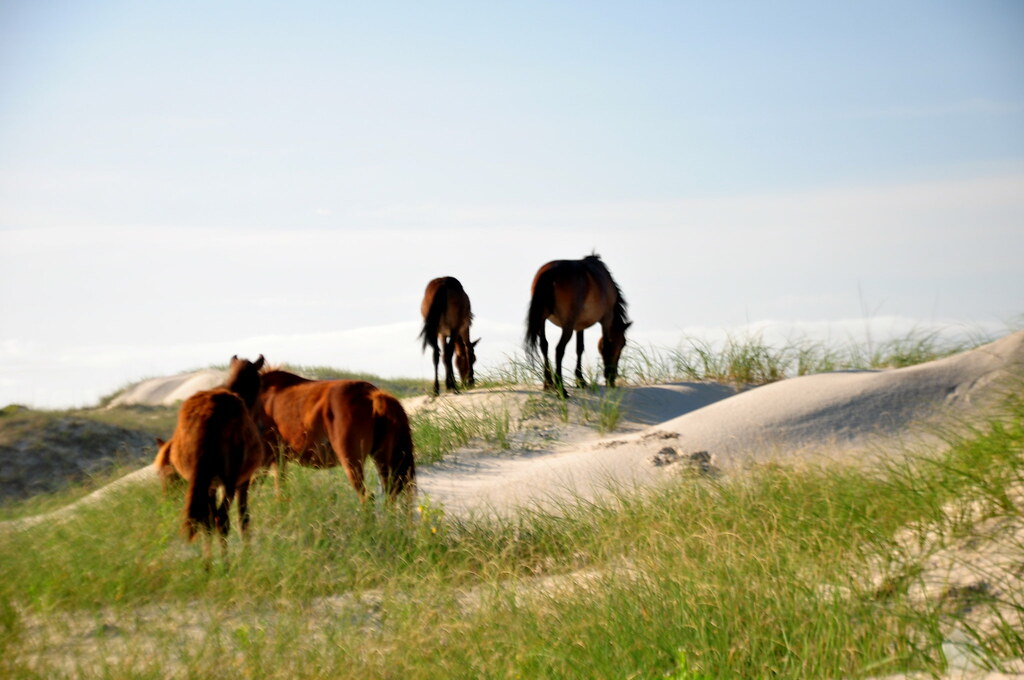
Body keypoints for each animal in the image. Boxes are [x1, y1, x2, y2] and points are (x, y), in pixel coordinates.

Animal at [152, 352, 266, 561]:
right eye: (260, 383)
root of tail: (208, 417)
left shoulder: (211, 485)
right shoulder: (242, 482)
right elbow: (244, 518)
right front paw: (247, 555)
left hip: (201, 479)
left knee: (207, 521)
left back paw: (209, 564)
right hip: (229, 480)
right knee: (222, 519)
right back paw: (225, 563)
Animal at [256, 368, 415, 501]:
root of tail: (372, 395)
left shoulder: (265, 458)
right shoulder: (278, 459)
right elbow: (281, 492)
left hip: (351, 462)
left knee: (367, 497)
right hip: (383, 460)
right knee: (390, 495)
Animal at [528, 253, 630, 393]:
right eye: (623, 344)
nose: (614, 375)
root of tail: (551, 271)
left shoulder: (579, 326)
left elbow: (579, 348)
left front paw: (580, 380)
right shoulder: (606, 318)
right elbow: (606, 345)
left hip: (542, 320)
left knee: (544, 345)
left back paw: (548, 383)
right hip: (567, 325)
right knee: (559, 349)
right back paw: (561, 389)